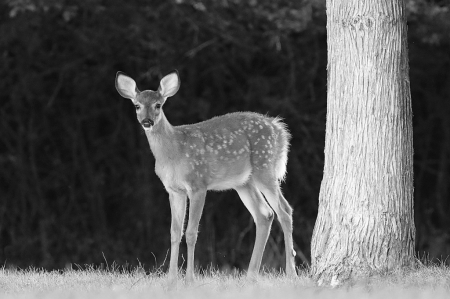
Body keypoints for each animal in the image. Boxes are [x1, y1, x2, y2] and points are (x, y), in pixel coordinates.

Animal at [115, 70, 296, 284]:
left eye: (158, 105)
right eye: (137, 105)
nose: (147, 122)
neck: (173, 152)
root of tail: (279, 129)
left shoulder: (198, 184)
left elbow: (191, 232)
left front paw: (189, 279)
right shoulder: (174, 190)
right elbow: (174, 232)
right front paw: (171, 278)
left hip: (265, 167)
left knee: (285, 211)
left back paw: (291, 273)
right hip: (244, 182)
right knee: (265, 214)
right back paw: (251, 275)